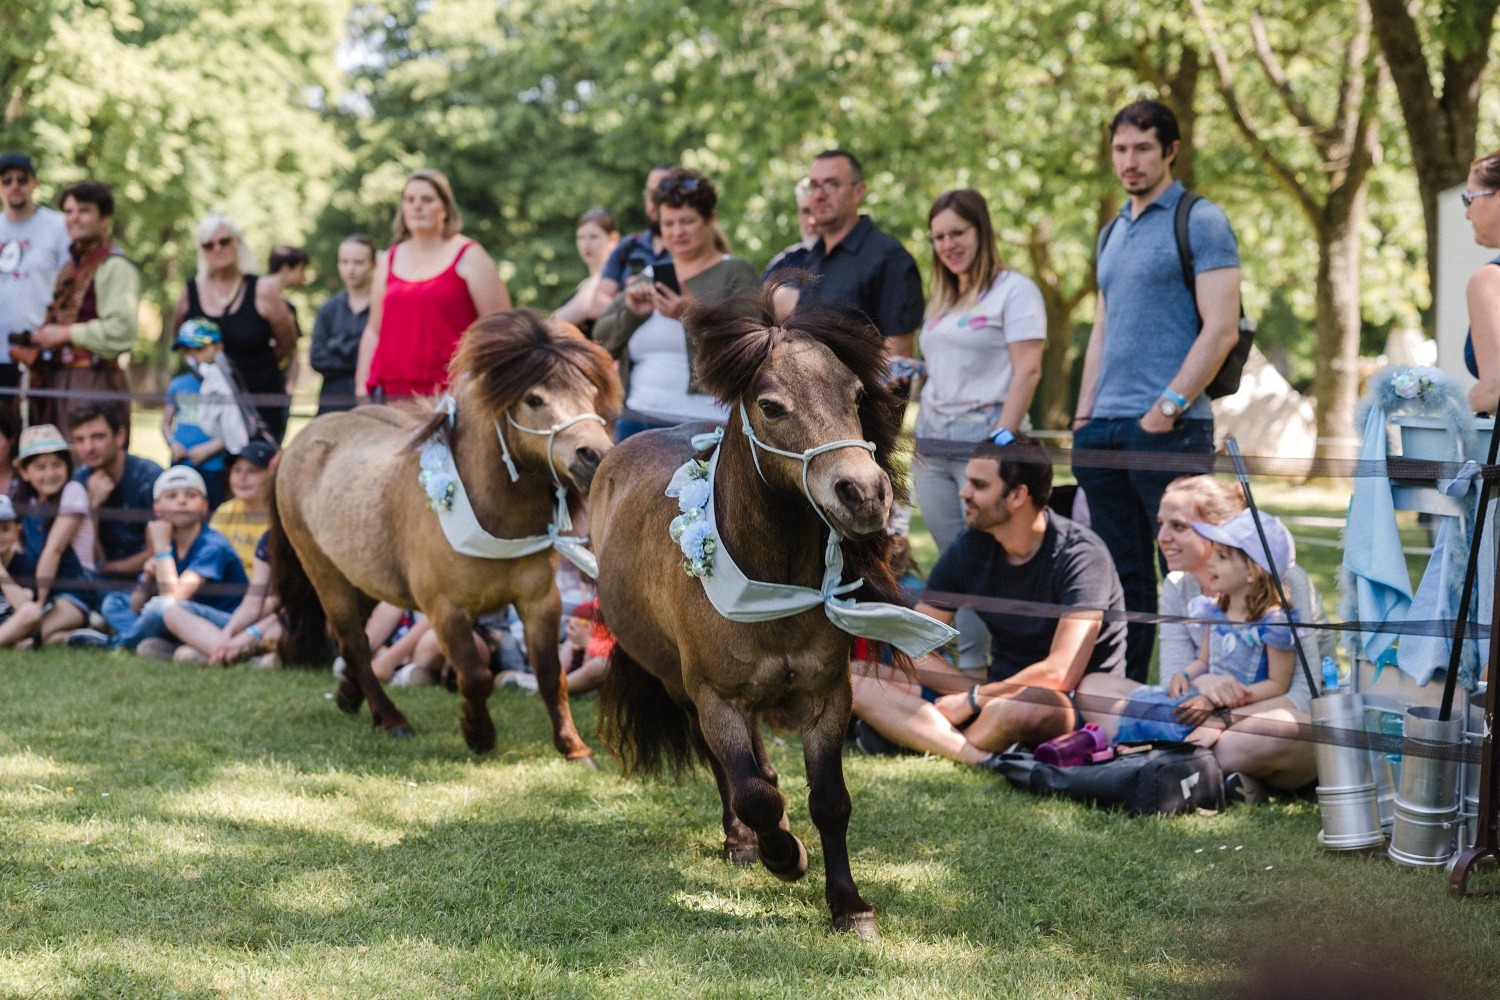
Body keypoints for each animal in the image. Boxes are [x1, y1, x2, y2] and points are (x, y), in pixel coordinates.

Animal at [273, 308, 618, 755]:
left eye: (592, 393)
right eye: (534, 399)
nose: (595, 455)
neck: (492, 519)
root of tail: (300, 442)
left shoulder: (540, 601)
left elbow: (549, 674)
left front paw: (573, 746)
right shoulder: (445, 610)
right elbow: (475, 675)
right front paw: (478, 732)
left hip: (363, 576)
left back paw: (350, 695)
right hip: (325, 573)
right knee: (353, 642)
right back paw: (391, 718)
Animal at [591, 289, 906, 941]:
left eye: (855, 396)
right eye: (771, 405)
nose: (865, 493)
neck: (771, 587)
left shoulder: (826, 697)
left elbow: (829, 801)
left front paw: (849, 904)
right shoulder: (716, 697)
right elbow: (754, 795)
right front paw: (784, 856)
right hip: (682, 687)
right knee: (732, 772)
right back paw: (746, 842)